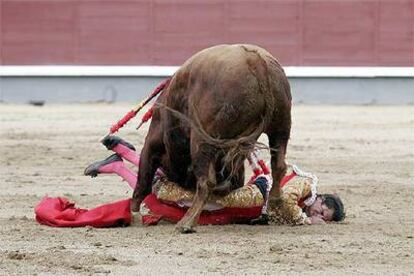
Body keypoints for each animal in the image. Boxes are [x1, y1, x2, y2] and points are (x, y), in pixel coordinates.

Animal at [133, 44, 292, 233]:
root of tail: (256, 62)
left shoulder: (152, 143)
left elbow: (143, 177)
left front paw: (133, 211)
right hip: (281, 126)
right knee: (279, 165)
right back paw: (276, 202)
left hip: (202, 140)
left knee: (206, 182)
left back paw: (186, 223)